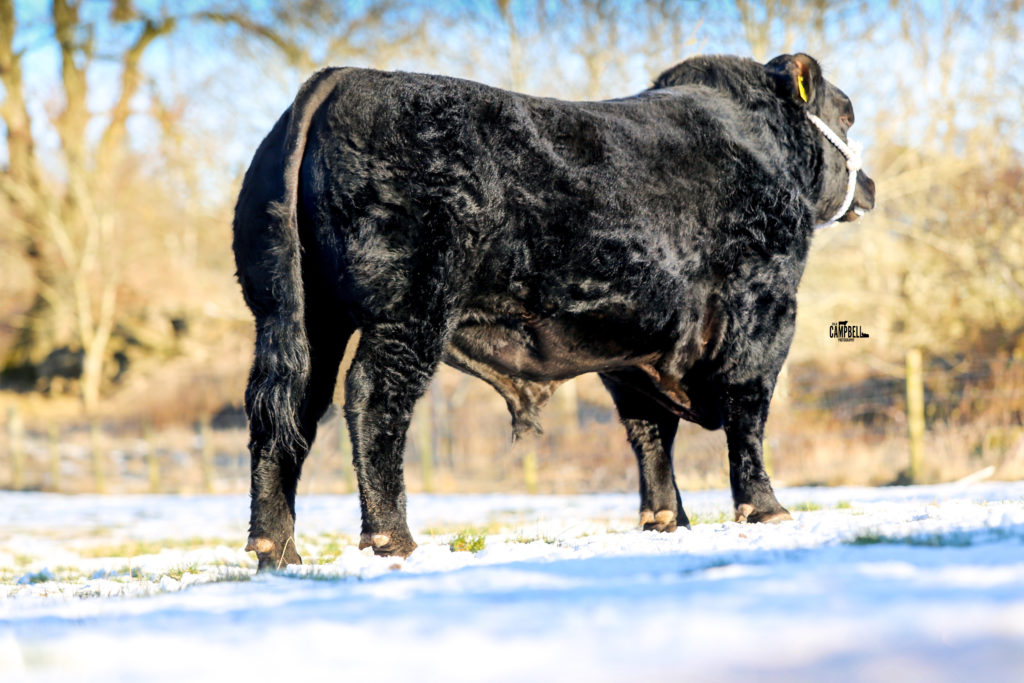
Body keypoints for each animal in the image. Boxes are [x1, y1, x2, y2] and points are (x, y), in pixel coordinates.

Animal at [233, 52, 875, 570]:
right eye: (846, 113)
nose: (867, 185)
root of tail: (348, 77)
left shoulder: (631, 346)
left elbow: (649, 431)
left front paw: (665, 521)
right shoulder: (764, 308)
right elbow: (747, 413)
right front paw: (766, 509)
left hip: (298, 316)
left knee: (285, 411)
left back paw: (278, 552)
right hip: (409, 310)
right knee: (371, 398)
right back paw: (394, 540)